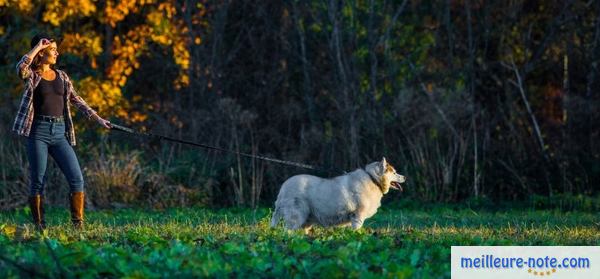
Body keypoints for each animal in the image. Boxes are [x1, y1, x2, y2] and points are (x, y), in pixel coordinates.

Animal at [270, 159, 404, 231]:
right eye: (394, 172)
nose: (405, 177)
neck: (373, 179)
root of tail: (283, 188)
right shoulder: (357, 217)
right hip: (296, 215)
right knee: (288, 232)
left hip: (306, 219)